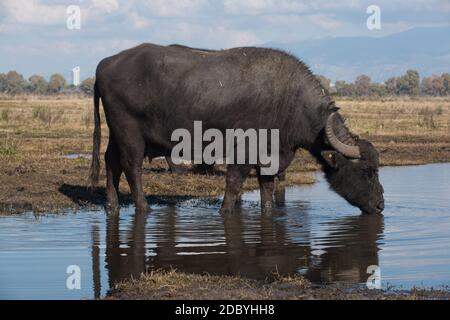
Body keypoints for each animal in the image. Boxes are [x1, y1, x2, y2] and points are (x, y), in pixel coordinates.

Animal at [89, 43, 384, 215]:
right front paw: (226, 210)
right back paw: (143, 207)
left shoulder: (272, 154)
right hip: (130, 133)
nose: (380, 204)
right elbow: (234, 183)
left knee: (111, 161)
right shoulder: (243, 150)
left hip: (116, 133)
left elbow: (267, 187)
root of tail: (105, 63)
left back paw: (112, 204)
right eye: (367, 172)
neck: (289, 102)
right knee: (132, 167)